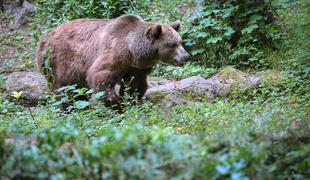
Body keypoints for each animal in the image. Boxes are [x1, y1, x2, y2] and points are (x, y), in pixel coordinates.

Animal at [37, 14, 190, 112]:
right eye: (172, 45)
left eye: (180, 42)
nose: (186, 57)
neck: (133, 51)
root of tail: (45, 35)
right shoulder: (116, 53)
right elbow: (100, 77)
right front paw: (118, 107)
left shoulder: (136, 67)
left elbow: (135, 85)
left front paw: (131, 103)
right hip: (58, 61)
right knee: (63, 88)